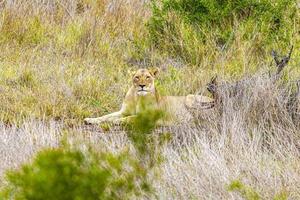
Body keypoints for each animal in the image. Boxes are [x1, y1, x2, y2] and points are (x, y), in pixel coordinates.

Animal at [84, 67, 216, 125]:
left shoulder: (147, 117)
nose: (142, 85)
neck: (137, 97)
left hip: (189, 98)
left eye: (148, 77)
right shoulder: (123, 111)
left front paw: (117, 121)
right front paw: (90, 120)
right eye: (137, 77)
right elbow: (106, 116)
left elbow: (129, 118)